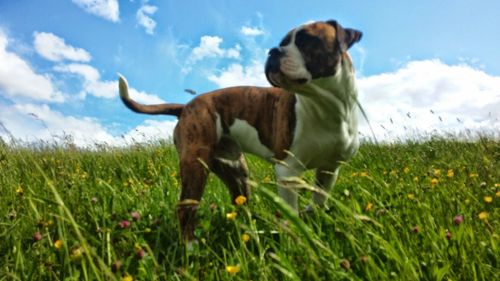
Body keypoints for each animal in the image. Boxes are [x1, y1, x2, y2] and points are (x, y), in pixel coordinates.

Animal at [120, 19, 364, 240]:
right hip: (195, 163)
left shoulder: (329, 169)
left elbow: (319, 201)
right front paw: (297, 241)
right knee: (186, 208)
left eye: (307, 41)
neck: (327, 106)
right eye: (283, 43)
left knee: (239, 203)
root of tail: (186, 106)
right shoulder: (288, 171)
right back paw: (190, 248)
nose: (273, 51)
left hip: (236, 172)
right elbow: (292, 215)